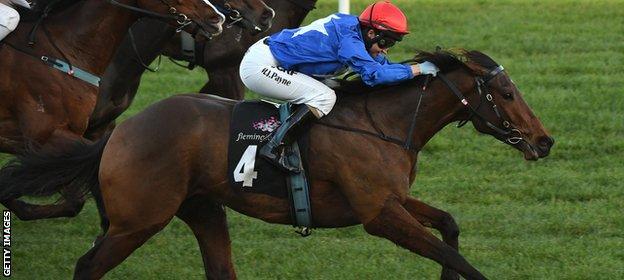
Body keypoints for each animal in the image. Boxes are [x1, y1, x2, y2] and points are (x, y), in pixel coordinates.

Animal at [0, 49, 556, 278]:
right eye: (507, 93)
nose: (544, 141)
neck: (382, 123)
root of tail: (119, 134)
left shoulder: (391, 199)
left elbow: (450, 227)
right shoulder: (378, 215)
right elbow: (455, 256)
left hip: (202, 209)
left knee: (220, 268)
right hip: (138, 220)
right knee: (88, 265)